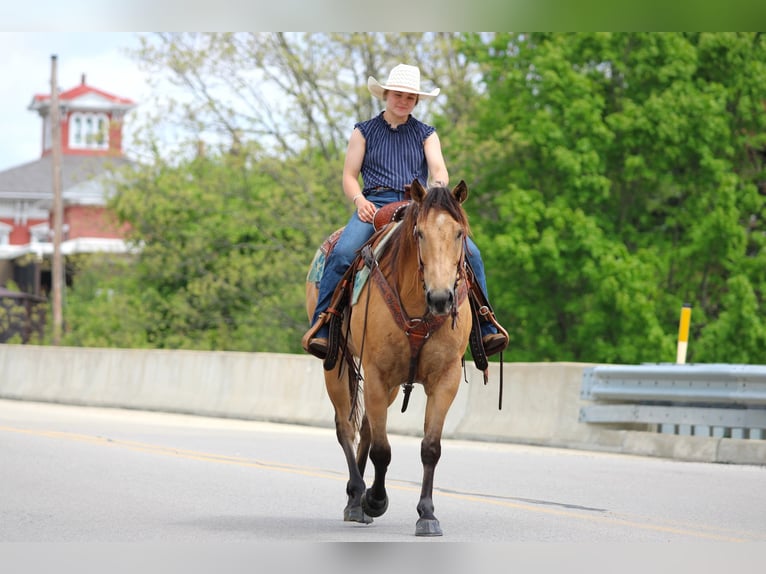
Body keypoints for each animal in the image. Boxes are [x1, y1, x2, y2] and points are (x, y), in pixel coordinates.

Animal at [305, 179, 473, 536]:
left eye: (459, 233)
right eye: (419, 233)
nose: (441, 298)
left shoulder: (445, 378)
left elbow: (430, 447)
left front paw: (427, 514)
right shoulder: (377, 373)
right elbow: (382, 450)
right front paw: (375, 500)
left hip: (391, 385)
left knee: (367, 429)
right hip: (337, 365)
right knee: (347, 429)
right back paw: (357, 499)